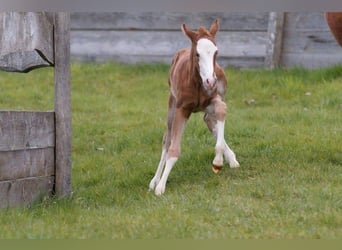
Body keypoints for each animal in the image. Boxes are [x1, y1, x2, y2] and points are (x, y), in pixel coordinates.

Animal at [148, 19, 239, 195]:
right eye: (197, 54)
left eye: (216, 52)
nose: (210, 81)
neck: (197, 83)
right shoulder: (181, 109)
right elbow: (173, 148)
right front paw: (161, 186)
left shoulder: (213, 98)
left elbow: (222, 110)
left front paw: (218, 160)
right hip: (172, 102)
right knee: (167, 138)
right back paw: (154, 181)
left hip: (214, 97)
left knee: (210, 120)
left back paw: (230, 158)